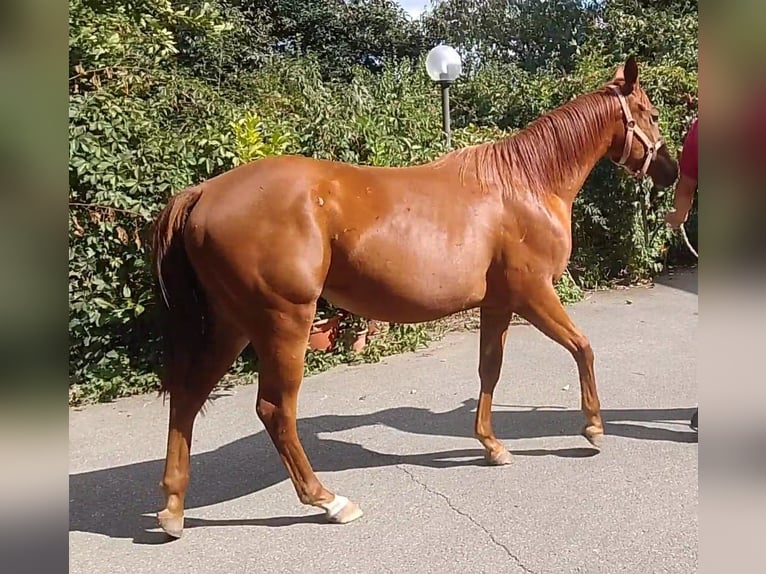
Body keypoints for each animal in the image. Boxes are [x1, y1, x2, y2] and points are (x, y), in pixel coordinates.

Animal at [150, 56, 679, 538]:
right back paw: (327, 500)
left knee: (189, 395)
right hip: (283, 322)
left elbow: (490, 370)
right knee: (275, 410)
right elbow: (583, 348)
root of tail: (202, 193)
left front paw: (491, 445)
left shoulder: (498, 304)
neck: (525, 184)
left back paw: (173, 508)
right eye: (651, 113)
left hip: (233, 324)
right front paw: (593, 428)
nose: (671, 171)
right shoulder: (533, 294)